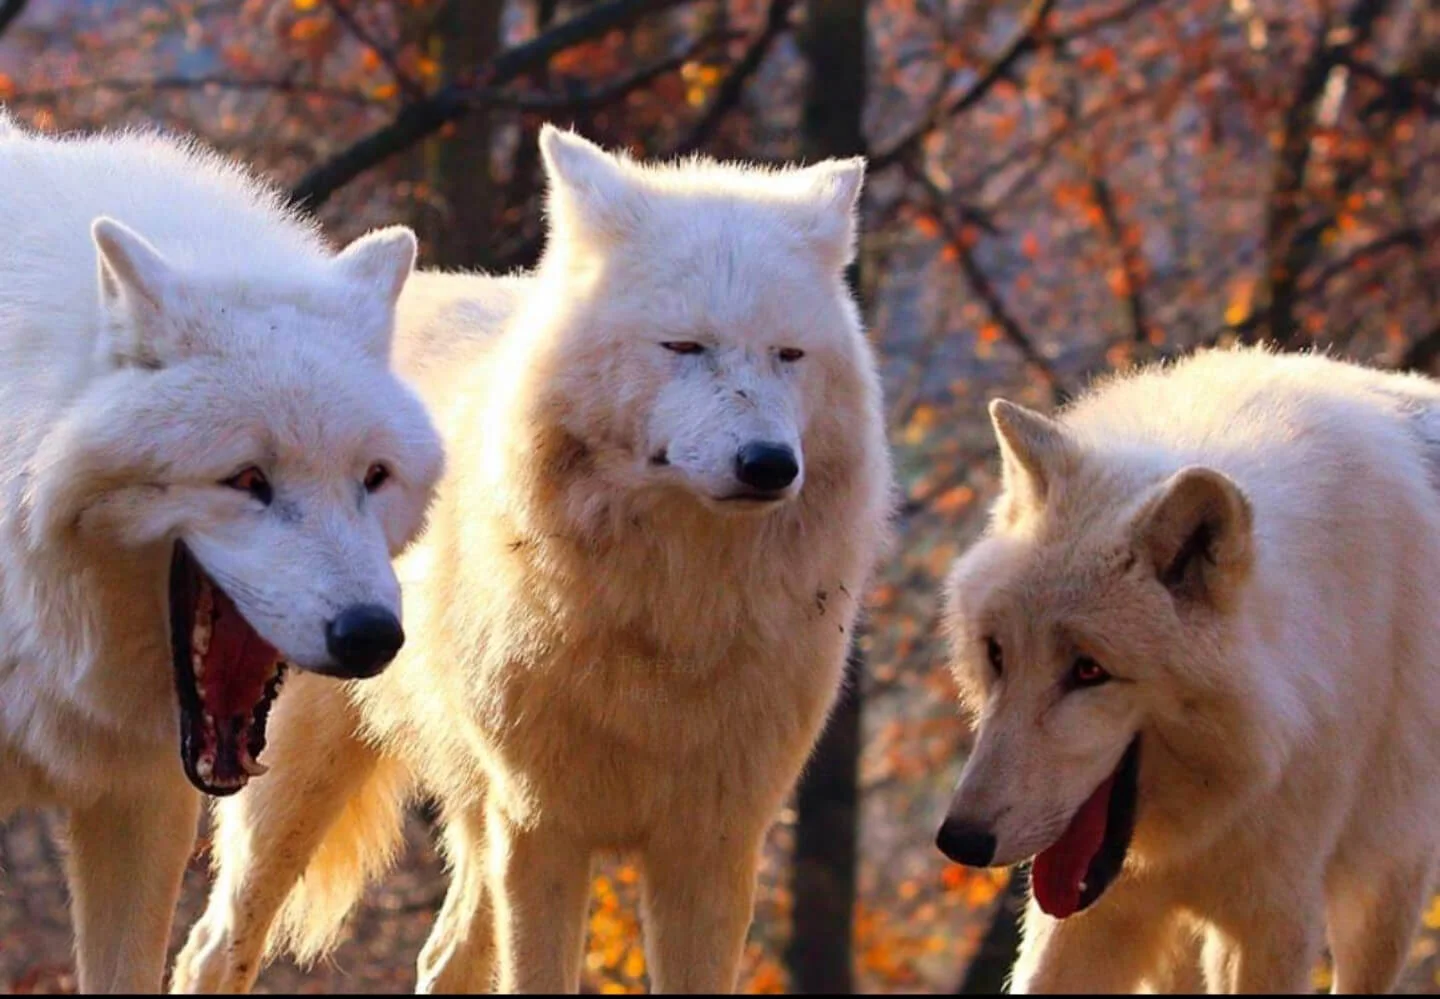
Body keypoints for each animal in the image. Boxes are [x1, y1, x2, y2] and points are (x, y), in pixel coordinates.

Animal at [174, 128, 892, 996]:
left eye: (790, 355)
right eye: (684, 346)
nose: (769, 464)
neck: (673, 615)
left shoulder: (714, 842)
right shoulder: (542, 825)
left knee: (443, 957)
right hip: (298, 778)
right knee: (213, 946)